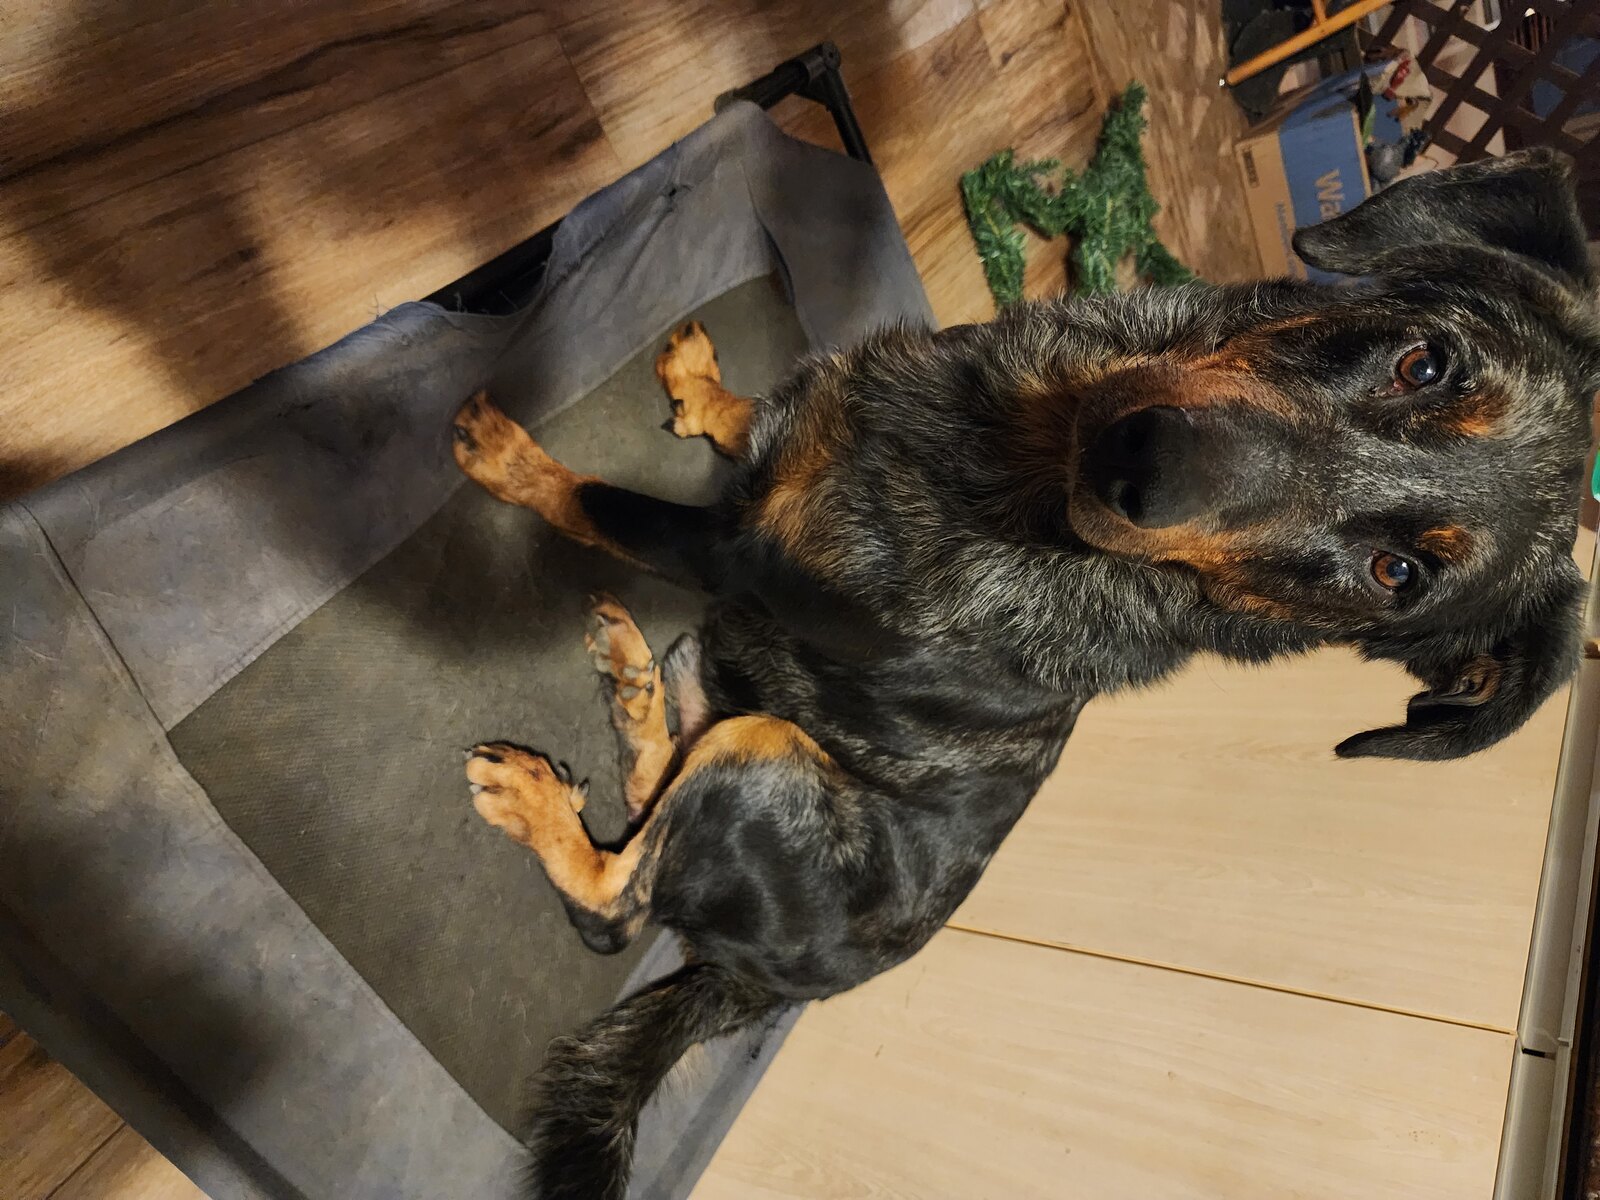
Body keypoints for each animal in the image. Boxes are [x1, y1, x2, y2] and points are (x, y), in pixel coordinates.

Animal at [448, 149, 1598, 1199]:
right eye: (1424, 363)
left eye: (1395, 573)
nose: (1138, 465)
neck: (1024, 452)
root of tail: (751, 988)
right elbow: (769, 417)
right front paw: (706, 391)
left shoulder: (731, 556)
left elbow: (603, 504)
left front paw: (511, 460)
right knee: (655, 785)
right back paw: (630, 681)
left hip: (763, 756)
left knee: (615, 908)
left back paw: (536, 792)